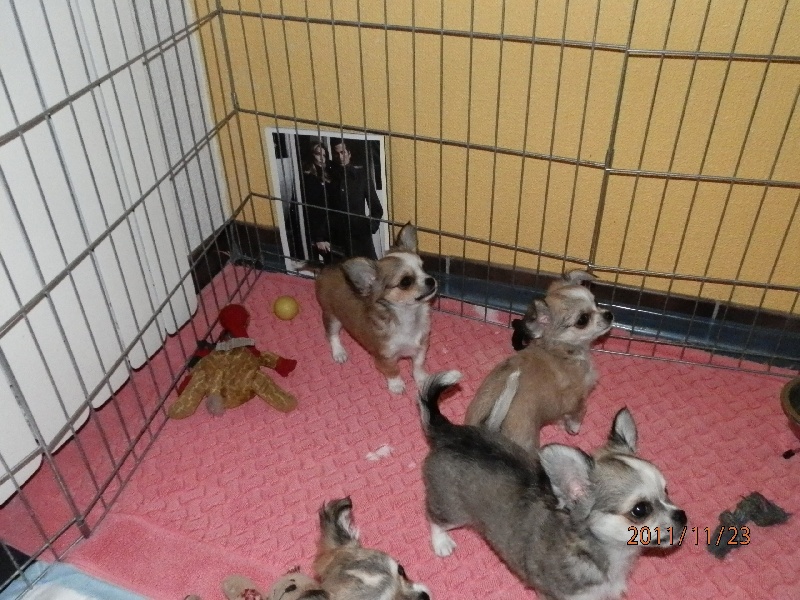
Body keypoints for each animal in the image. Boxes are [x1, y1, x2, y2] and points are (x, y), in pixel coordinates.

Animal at [314, 223, 436, 394]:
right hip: (332, 316)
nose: (431, 280)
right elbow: (393, 370)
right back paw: (339, 352)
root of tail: (325, 268)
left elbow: (418, 366)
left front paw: (422, 380)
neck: (408, 317)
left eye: (424, 268)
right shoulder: (385, 357)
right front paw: (396, 385)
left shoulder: (421, 347)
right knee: (332, 335)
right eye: (405, 282)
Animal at [418, 371, 686, 600]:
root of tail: (449, 432)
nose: (682, 516)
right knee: (434, 517)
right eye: (640, 510)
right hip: (451, 509)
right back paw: (441, 543)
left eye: (666, 491)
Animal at [465, 270, 613, 450]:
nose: (609, 315)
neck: (560, 349)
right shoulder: (578, 398)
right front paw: (574, 428)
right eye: (582, 320)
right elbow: (579, 413)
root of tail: (489, 430)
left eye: (596, 302)